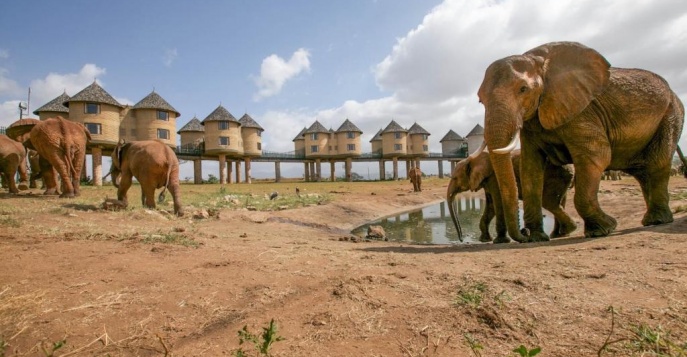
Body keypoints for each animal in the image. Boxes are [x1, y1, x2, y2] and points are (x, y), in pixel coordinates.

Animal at [446, 149, 576, 243]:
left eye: (455, 178)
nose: (461, 239)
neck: (473, 159)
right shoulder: (487, 180)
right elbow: (490, 206)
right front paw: (484, 240)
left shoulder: (494, 178)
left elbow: (497, 202)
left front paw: (500, 241)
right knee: (559, 201)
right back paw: (559, 234)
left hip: (556, 175)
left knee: (549, 202)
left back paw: (566, 231)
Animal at [476, 41, 684, 242]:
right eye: (480, 100)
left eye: (523, 89)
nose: (523, 233)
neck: (538, 62)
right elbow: (530, 168)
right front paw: (537, 238)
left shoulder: (583, 110)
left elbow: (597, 156)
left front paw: (604, 229)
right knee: (642, 172)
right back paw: (651, 220)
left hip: (671, 113)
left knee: (657, 163)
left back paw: (657, 220)